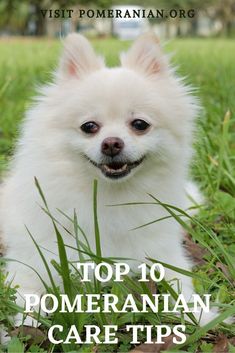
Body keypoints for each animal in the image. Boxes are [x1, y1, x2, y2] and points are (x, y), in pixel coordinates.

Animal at [0, 34, 219, 326]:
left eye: (140, 124)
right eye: (89, 127)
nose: (112, 143)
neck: (110, 196)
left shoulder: (163, 252)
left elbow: (180, 284)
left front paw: (200, 315)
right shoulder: (35, 255)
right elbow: (30, 288)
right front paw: (30, 319)